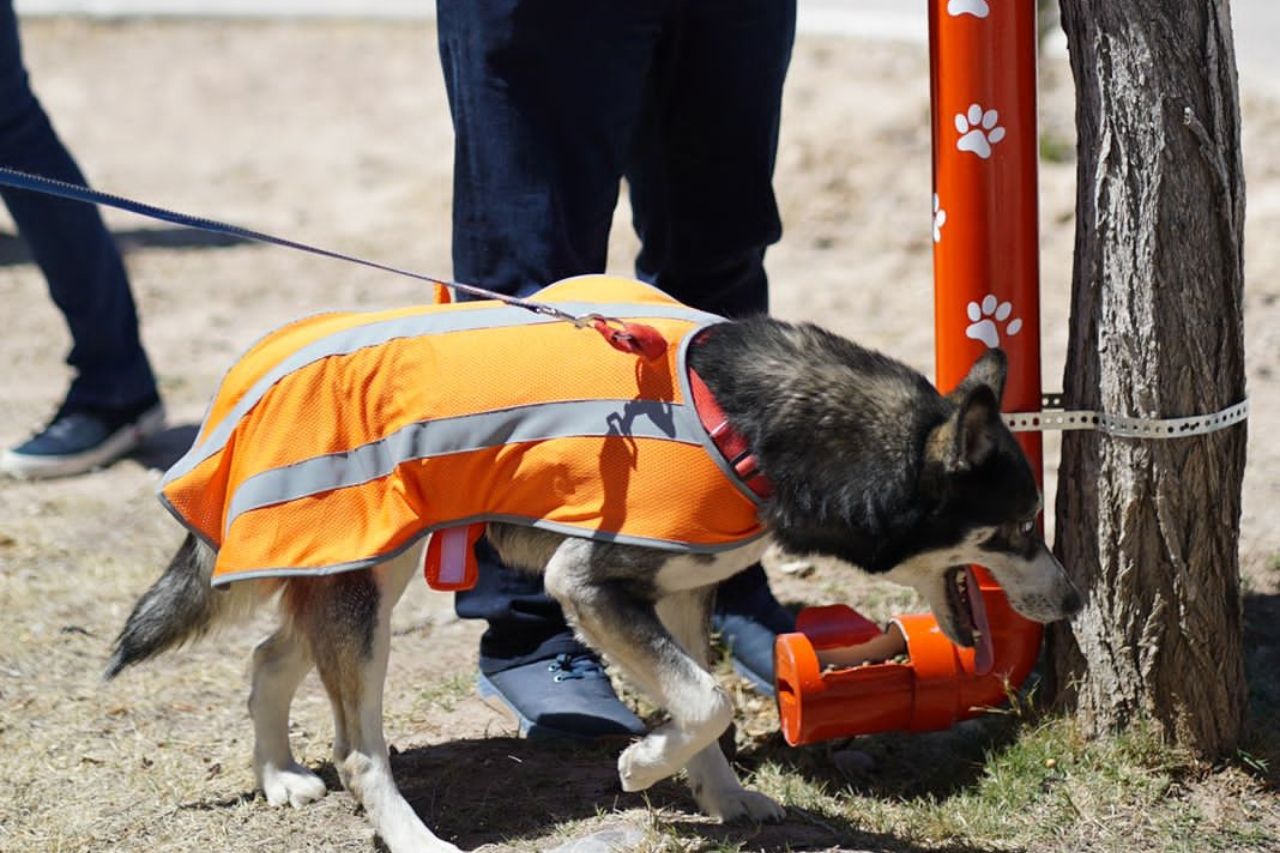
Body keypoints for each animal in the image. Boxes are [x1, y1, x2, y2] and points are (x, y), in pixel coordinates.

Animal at [104, 275, 1080, 845]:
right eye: (1017, 527)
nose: (1074, 599)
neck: (746, 417)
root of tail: (246, 385)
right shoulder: (583, 582)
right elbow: (708, 697)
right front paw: (641, 766)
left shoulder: (682, 592)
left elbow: (704, 707)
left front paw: (724, 799)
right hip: (368, 576)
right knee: (357, 748)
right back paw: (409, 834)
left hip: (356, 566)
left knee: (270, 657)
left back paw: (276, 777)